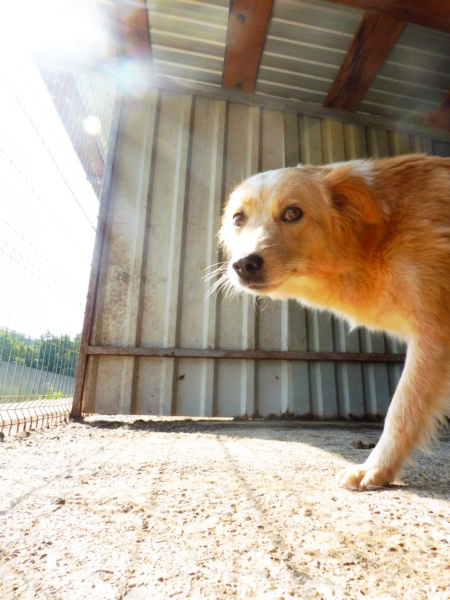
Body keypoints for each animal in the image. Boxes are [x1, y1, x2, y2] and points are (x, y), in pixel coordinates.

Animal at [220, 155, 450, 492]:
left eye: (292, 213)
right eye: (238, 219)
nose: (243, 264)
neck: (377, 236)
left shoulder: (433, 334)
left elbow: (401, 409)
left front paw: (375, 469)